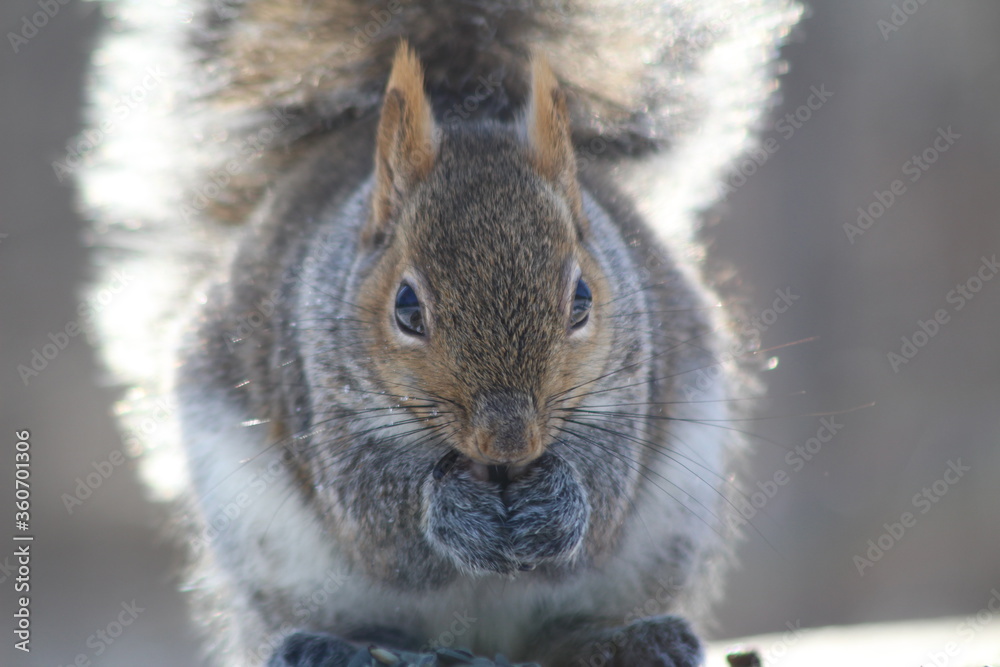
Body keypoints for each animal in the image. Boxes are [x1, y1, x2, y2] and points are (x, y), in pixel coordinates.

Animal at [76, 0, 801, 665]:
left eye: (582, 300)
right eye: (406, 308)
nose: (510, 441)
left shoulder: (631, 384)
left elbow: (603, 496)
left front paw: (558, 506)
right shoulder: (317, 396)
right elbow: (381, 524)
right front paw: (451, 510)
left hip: (663, 540)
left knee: (560, 634)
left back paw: (628, 637)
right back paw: (339, 647)